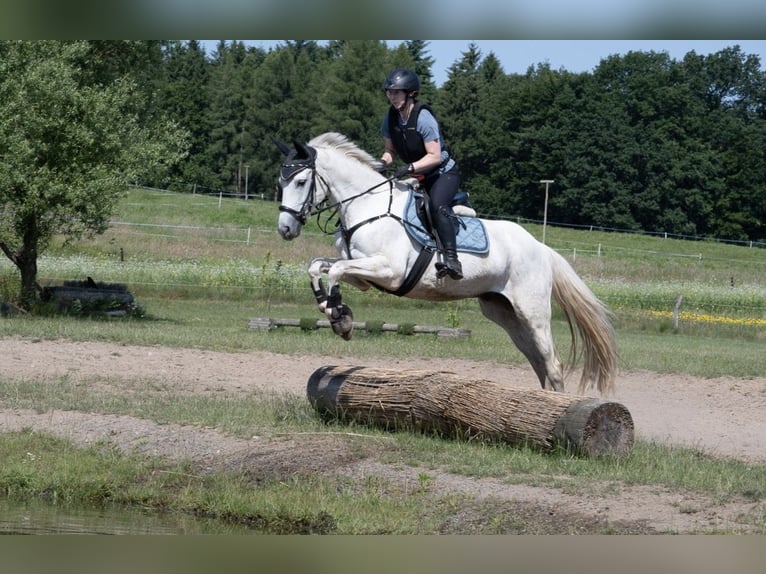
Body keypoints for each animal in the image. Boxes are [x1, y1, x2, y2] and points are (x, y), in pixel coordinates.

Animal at [274, 132, 618, 395]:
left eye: (301, 181)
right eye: (281, 181)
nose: (285, 229)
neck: (367, 205)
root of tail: (541, 248)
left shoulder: (388, 271)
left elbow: (335, 270)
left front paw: (340, 319)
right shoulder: (364, 273)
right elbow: (318, 266)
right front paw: (330, 307)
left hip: (532, 312)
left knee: (552, 363)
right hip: (504, 313)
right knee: (538, 363)